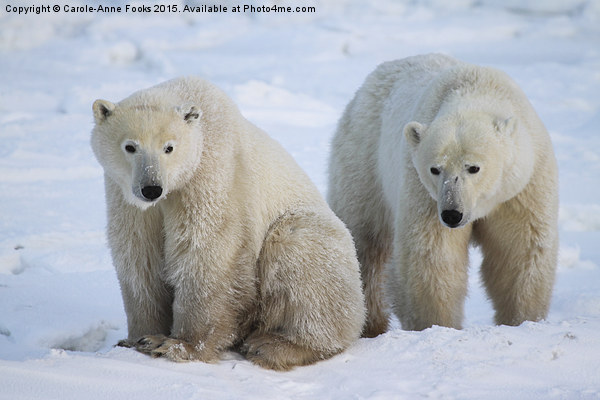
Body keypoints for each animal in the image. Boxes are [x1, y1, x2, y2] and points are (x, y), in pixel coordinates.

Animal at [91, 76, 366, 370]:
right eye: (130, 146)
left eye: (169, 147)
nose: (151, 188)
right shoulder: (127, 198)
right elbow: (139, 257)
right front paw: (137, 339)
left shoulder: (212, 173)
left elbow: (205, 251)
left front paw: (177, 345)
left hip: (318, 243)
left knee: (299, 251)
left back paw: (273, 345)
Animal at [328, 53, 556, 334]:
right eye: (435, 169)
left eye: (473, 167)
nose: (452, 214)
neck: (476, 91)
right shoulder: (424, 191)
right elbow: (433, 257)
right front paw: (437, 325)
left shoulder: (521, 187)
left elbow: (519, 251)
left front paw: (522, 320)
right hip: (365, 160)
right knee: (365, 241)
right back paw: (371, 324)